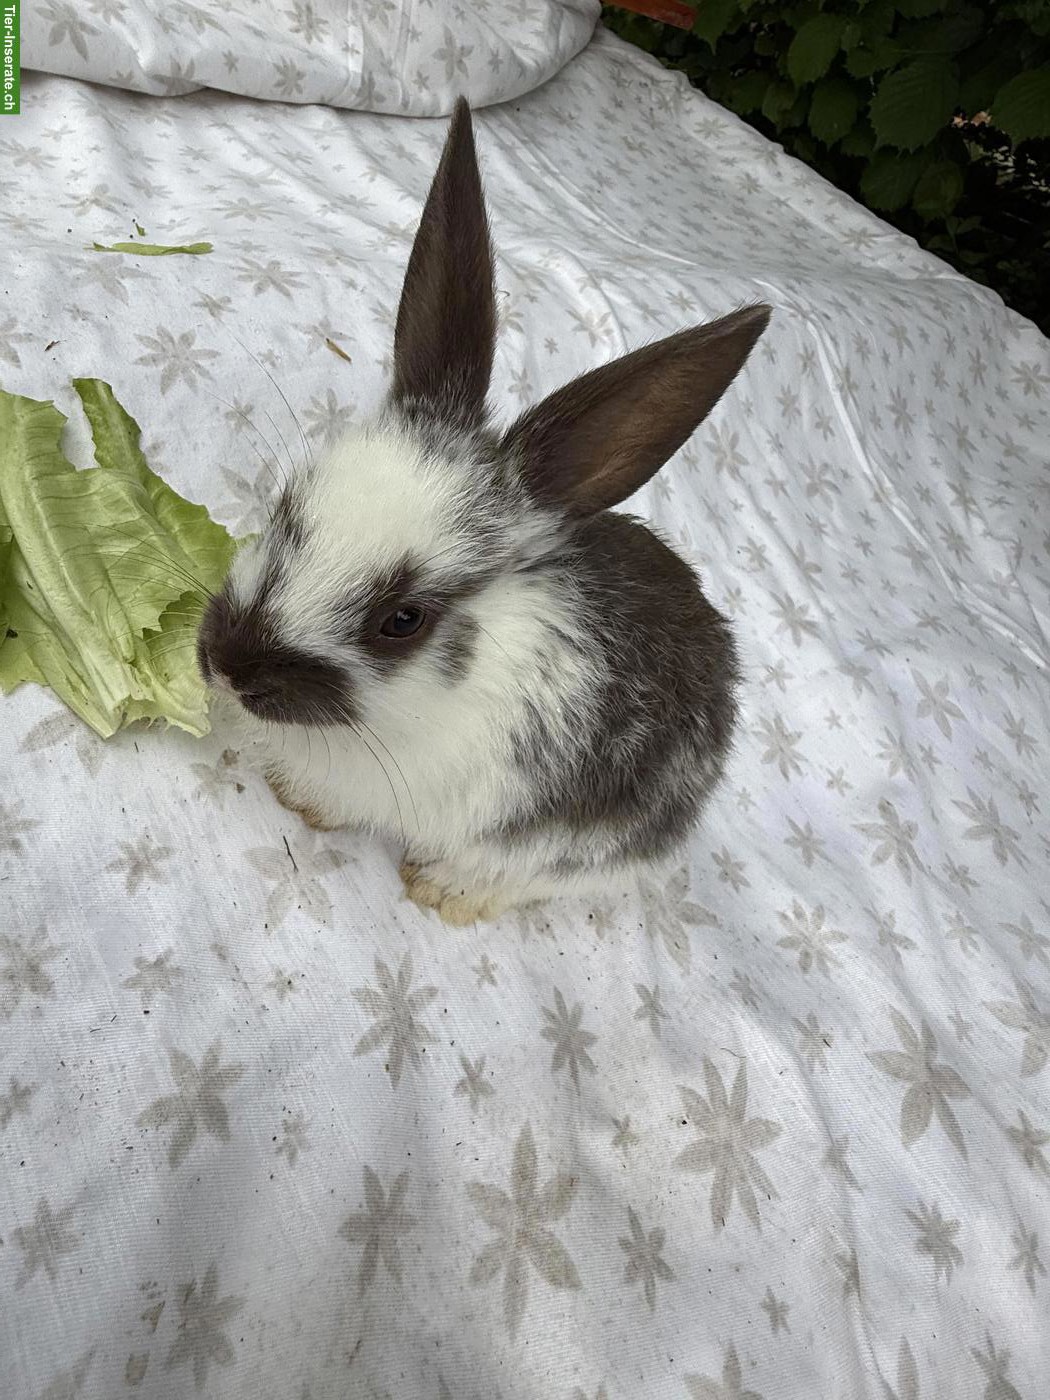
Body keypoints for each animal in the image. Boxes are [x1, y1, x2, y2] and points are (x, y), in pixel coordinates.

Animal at [196, 98, 770, 926]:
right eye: (287, 509)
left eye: (402, 621)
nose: (228, 667)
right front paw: (293, 796)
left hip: (576, 848)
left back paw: (441, 891)